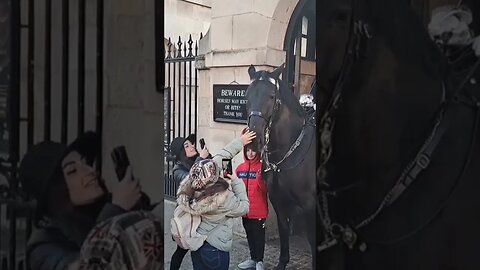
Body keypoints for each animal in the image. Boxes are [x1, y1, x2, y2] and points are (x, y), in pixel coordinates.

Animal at [246, 64, 316, 268]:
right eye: (246, 95)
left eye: (271, 95)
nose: (253, 141)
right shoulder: (278, 200)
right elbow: (284, 229)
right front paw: (282, 262)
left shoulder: (309, 204)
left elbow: (311, 238)